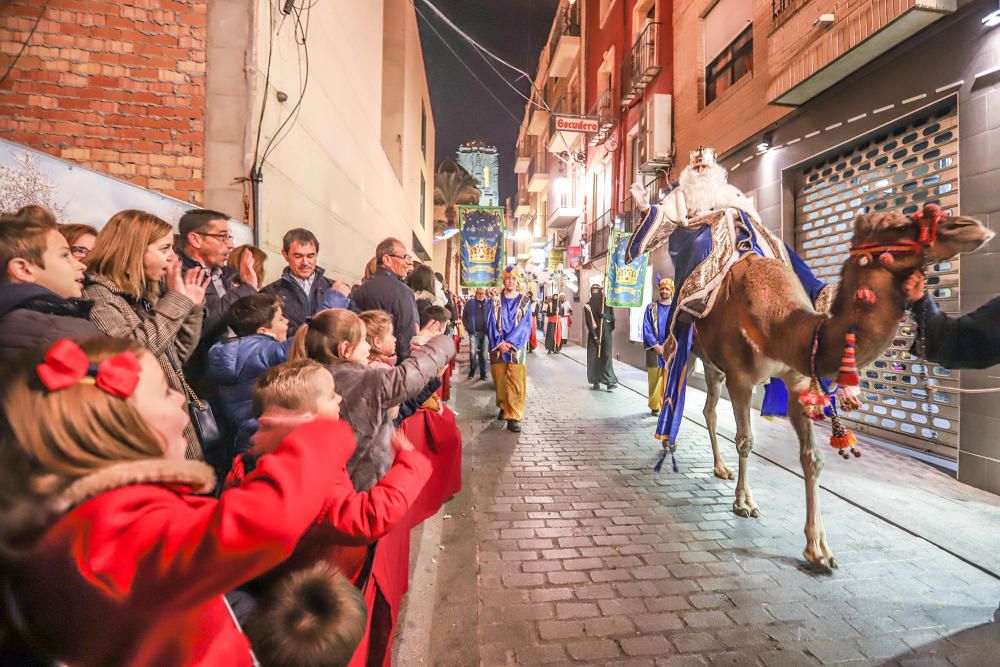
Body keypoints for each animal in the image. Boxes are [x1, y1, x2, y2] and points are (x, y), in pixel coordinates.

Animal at [688, 209, 992, 568]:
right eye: (899, 225)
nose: (970, 227)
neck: (781, 326)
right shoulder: (740, 378)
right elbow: (746, 440)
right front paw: (745, 503)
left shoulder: (797, 380)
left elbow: (812, 457)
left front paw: (818, 549)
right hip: (687, 353)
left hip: (712, 366)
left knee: (708, 408)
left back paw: (720, 467)